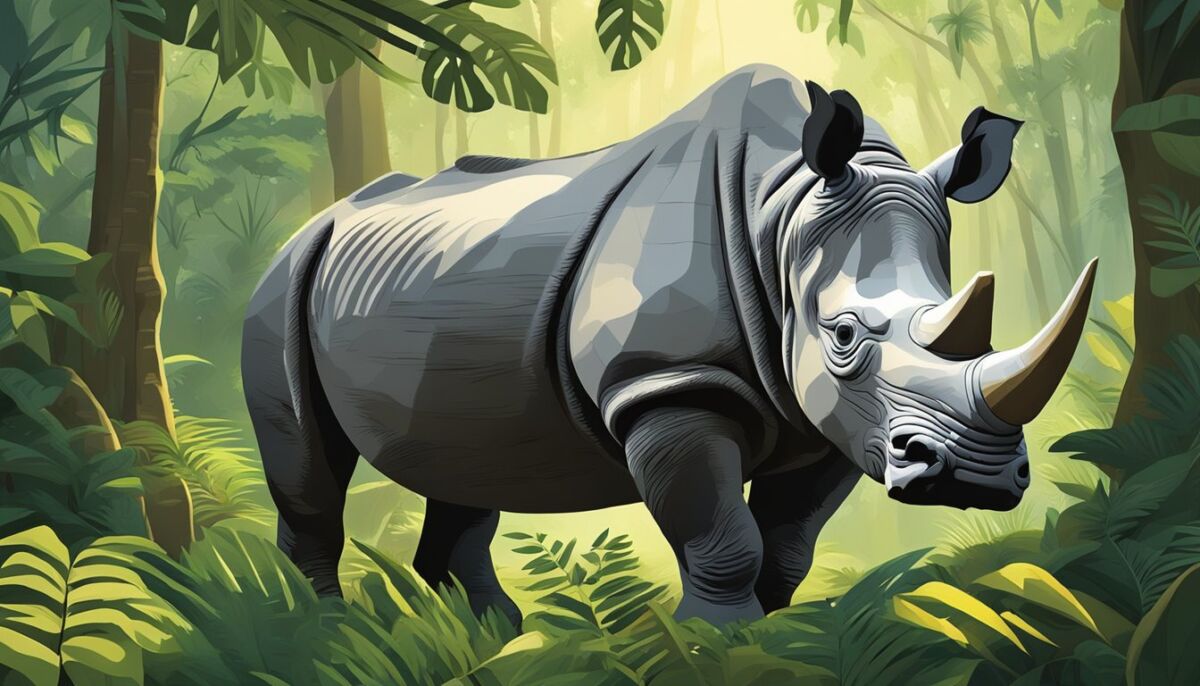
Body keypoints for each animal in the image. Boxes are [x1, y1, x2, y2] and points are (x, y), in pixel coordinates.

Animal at [242, 65, 1096, 625]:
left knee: (462, 461)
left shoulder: (833, 421)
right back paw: (327, 635)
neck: (782, 212)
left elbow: (787, 545)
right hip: (280, 284)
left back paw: (491, 639)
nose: (978, 476)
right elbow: (724, 538)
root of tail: (313, 226)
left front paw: (771, 637)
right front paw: (715, 641)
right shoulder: (667, 384)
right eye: (845, 335)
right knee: (311, 467)